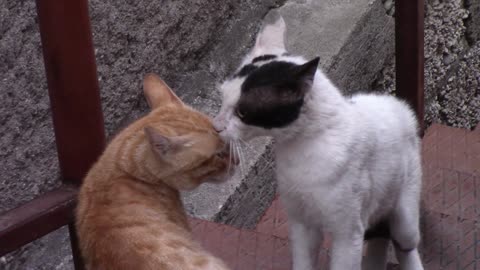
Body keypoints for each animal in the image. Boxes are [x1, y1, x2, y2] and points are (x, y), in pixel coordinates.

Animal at [214, 16, 424, 270]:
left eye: (242, 112)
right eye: (222, 98)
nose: (215, 125)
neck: (300, 149)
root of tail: (398, 105)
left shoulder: (347, 233)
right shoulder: (301, 223)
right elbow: (303, 263)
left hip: (405, 210)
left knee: (405, 244)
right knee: (379, 236)